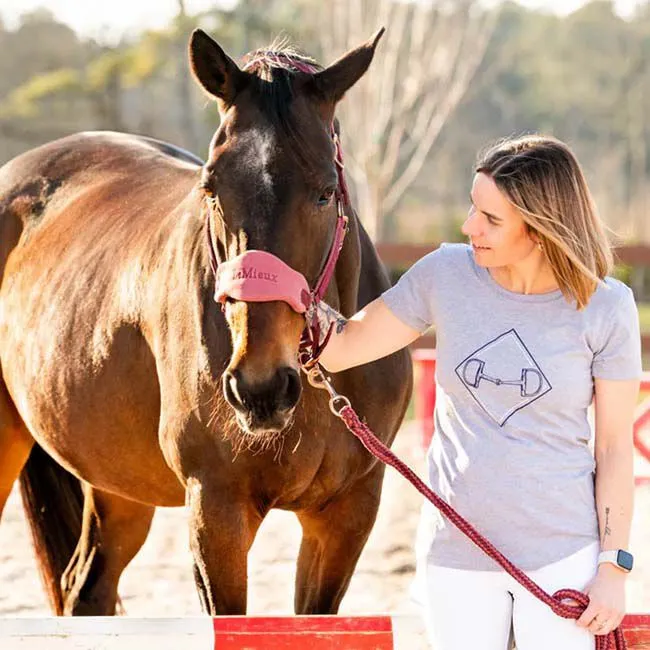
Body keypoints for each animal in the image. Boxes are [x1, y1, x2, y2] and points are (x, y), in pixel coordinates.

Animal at [0, 30, 410, 616]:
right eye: (212, 188)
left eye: (326, 191)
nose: (261, 387)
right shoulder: (217, 511)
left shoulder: (348, 512)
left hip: (118, 484)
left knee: (86, 587)